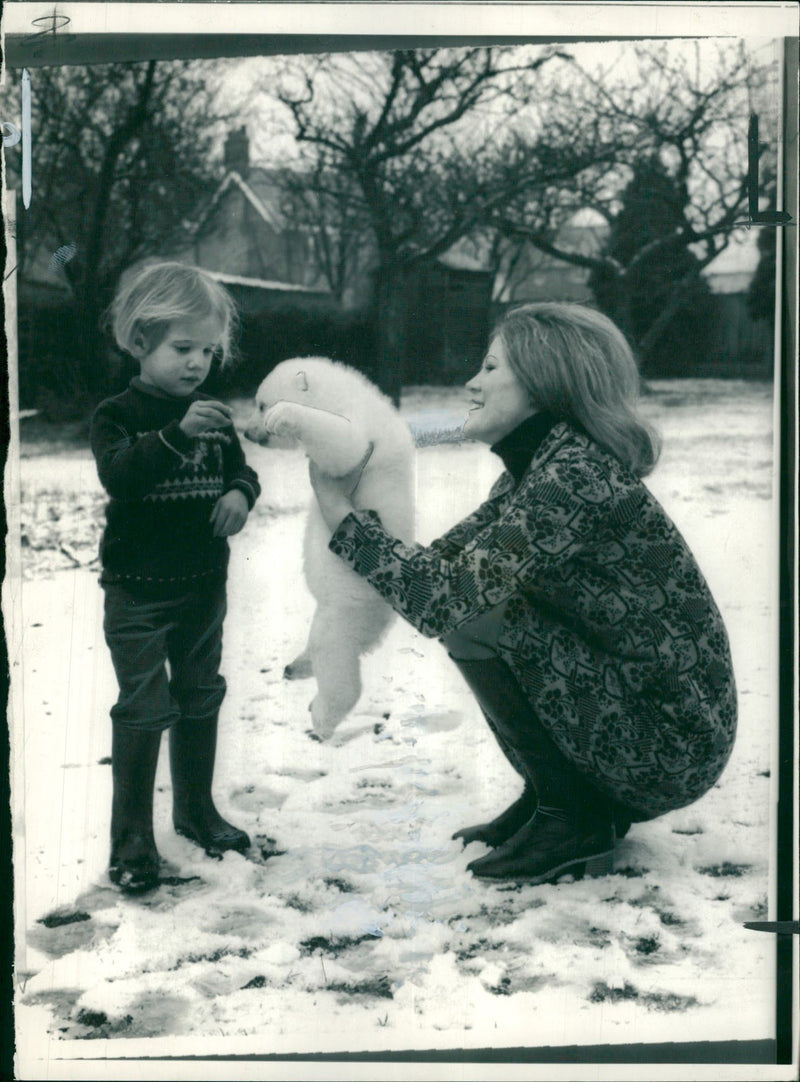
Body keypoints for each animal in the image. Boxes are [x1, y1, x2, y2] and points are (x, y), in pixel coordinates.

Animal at [243, 359, 415, 740]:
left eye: (261, 404)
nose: (247, 432)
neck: (342, 394)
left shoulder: (363, 429)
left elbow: (345, 447)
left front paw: (284, 414)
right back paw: (296, 666)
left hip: (346, 609)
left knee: (336, 661)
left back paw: (320, 719)